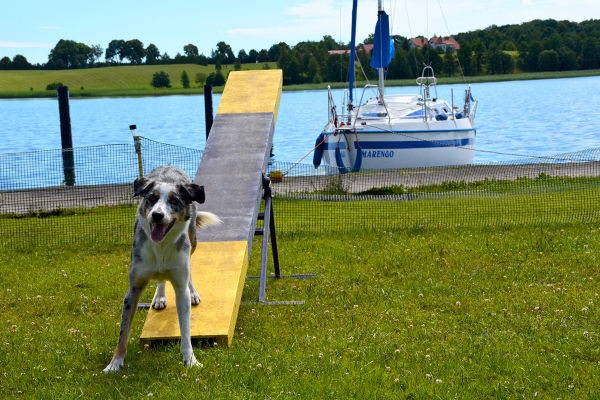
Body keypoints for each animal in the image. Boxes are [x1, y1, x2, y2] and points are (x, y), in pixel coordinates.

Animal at [103, 166, 220, 372]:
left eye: (174, 201)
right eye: (152, 198)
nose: (157, 215)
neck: (161, 246)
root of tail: (170, 166)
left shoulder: (180, 288)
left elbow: (186, 331)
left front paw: (190, 360)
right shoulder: (133, 290)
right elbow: (123, 333)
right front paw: (114, 363)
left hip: (193, 241)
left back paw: (193, 293)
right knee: (161, 279)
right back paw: (159, 297)